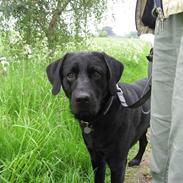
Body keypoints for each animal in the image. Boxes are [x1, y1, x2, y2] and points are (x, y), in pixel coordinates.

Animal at [46, 51, 150, 183]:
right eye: (70, 75)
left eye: (96, 74)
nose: (82, 99)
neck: (100, 119)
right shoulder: (96, 159)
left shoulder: (118, 163)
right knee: (144, 142)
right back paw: (137, 159)